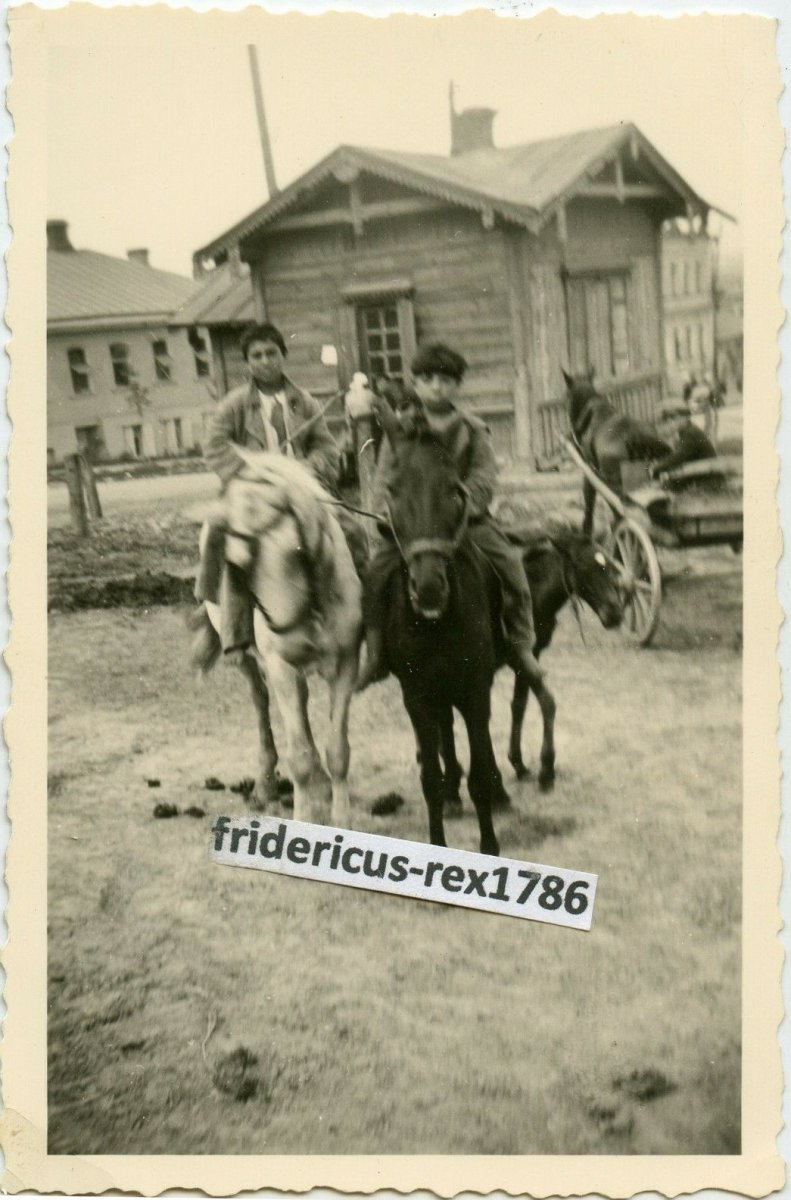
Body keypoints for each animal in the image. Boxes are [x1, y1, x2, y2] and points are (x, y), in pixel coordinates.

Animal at [199, 450, 363, 826]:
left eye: (294, 550)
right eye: (233, 565)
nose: (277, 626)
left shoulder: (346, 666)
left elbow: (338, 751)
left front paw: (342, 820)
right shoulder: (281, 666)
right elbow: (298, 758)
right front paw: (305, 815)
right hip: (250, 662)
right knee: (261, 703)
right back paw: (266, 785)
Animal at [378, 430, 557, 858]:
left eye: (455, 493)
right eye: (392, 492)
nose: (428, 588)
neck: (436, 625)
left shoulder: (476, 690)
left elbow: (479, 769)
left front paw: (489, 844)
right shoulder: (418, 697)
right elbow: (429, 777)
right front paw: (438, 841)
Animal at [436, 523, 623, 810]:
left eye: (609, 565)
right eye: (581, 566)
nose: (615, 614)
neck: (531, 588)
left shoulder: (530, 652)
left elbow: (519, 705)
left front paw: (519, 763)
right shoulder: (517, 655)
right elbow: (547, 701)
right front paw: (546, 770)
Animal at [563, 368, 671, 536]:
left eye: (566, 396)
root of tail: (634, 435)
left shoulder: (589, 470)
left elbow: (589, 499)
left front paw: (586, 530)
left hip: (612, 479)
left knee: (620, 508)